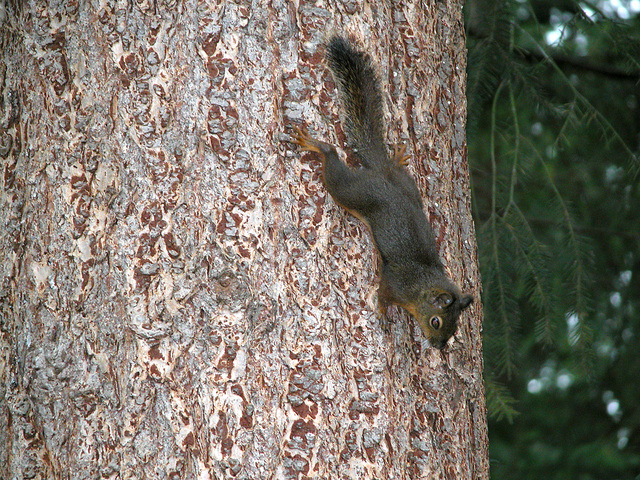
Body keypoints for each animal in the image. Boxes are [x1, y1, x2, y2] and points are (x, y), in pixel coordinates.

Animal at [292, 34, 472, 348]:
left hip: (406, 186)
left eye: (453, 329)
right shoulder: (395, 283)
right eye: (436, 321)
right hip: (353, 191)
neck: (423, 284)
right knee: (333, 161)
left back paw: (395, 159)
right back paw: (317, 146)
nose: (438, 347)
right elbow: (383, 295)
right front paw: (381, 311)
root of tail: (380, 174)